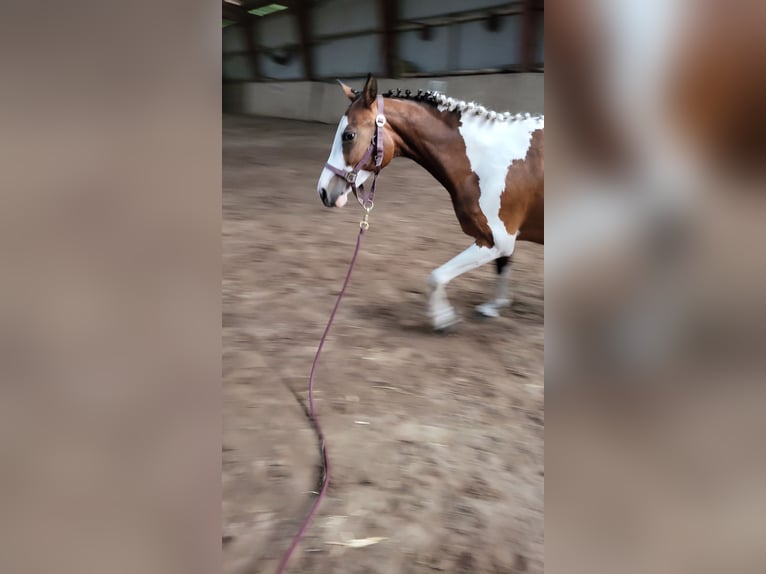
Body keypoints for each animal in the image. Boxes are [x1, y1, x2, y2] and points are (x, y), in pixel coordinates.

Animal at [317, 74, 544, 330]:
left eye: (349, 135)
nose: (323, 191)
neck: (487, 161)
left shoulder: (497, 240)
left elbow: (436, 277)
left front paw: (443, 318)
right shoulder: (501, 239)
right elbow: (503, 266)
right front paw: (494, 306)